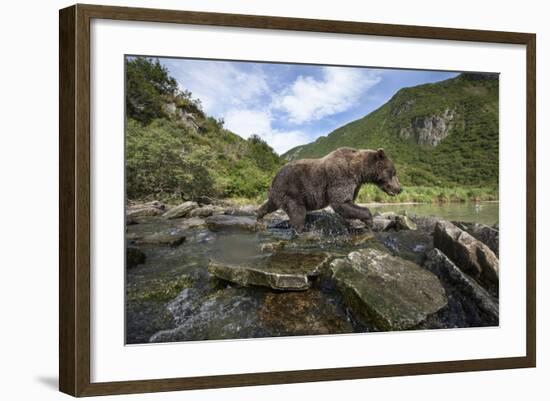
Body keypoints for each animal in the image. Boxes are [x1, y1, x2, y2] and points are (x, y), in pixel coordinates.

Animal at [256, 146, 404, 231]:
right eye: (394, 172)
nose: (400, 188)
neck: (360, 171)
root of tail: (275, 177)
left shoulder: (355, 184)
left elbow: (349, 203)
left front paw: (350, 223)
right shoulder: (341, 177)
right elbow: (340, 202)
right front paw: (369, 221)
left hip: (278, 193)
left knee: (270, 204)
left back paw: (259, 217)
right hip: (292, 191)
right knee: (298, 214)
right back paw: (301, 232)